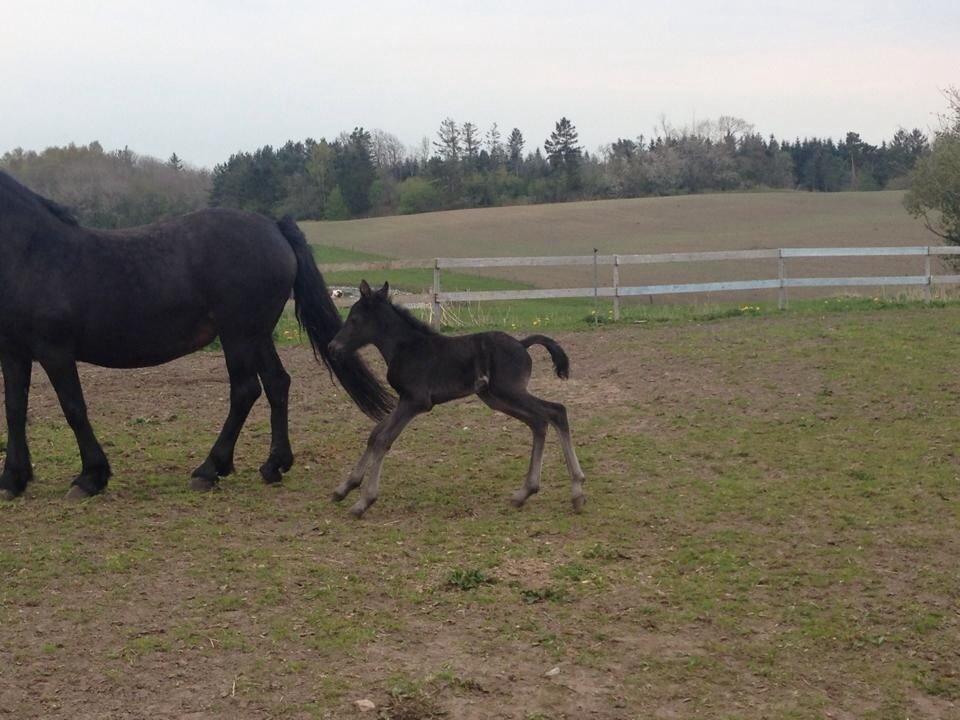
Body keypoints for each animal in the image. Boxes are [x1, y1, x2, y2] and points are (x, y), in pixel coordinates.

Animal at [0, 173, 394, 500]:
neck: (35, 254)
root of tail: (272, 226)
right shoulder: (14, 352)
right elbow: (15, 409)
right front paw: (12, 480)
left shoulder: (55, 351)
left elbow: (73, 408)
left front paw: (90, 477)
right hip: (256, 335)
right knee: (277, 384)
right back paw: (273, 465)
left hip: (238, 335)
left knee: (245, 391)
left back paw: (210, 469)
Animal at [328, 280, 584, 516]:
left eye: (354, 319)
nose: (333, 347)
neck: (406, 348)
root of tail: (522, 344)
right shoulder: (404, 401)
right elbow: (374, 435)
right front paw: (345, 488)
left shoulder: (415, 401)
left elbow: (383, 439)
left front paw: (363, 501)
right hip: (495, 397)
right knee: (539, 421)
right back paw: (526, 493)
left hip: (510, 391)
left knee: (555, 411)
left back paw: (576, 492)